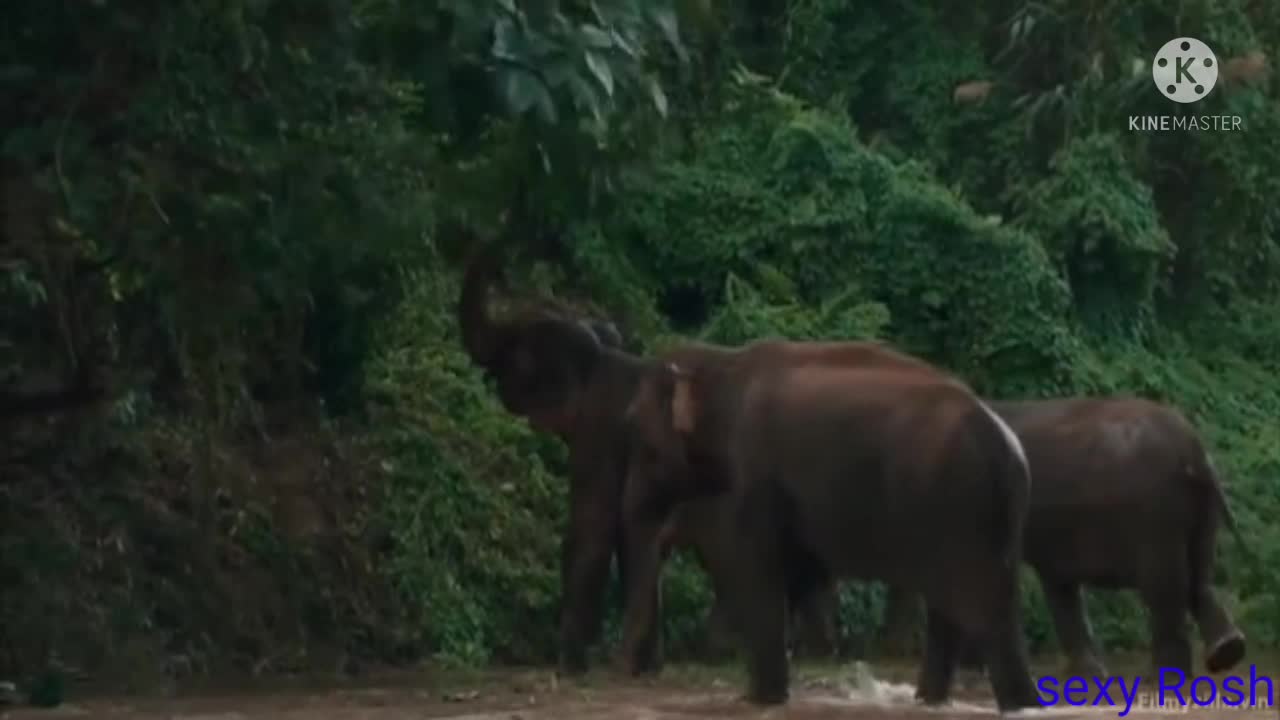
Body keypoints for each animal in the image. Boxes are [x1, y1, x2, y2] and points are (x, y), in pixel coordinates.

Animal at [614, 351, 1044, 707]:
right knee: (957, 607)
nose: (632, 671)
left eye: (635, 428)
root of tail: (1008, 450)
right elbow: (798, 568)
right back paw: (934, 701)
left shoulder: (754, 476)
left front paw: (758, 700)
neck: (718, 362)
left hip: (961, 507)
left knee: (983, 609)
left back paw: (1016, 705)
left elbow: (759, 571)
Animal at [875, 394, 1244, 681]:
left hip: (1155, 511)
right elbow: (1059, 583)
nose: (890, 652)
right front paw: (1089, 675)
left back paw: (1162, 678)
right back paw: (1226, 651)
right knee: (1198, 575)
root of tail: (1195, 452)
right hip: (1195, 509)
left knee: (1164, 587)